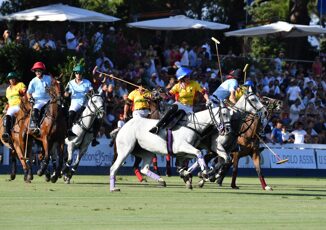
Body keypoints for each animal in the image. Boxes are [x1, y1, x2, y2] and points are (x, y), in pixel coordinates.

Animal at [109, 90, 268, 191]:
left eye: (230, 114)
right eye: (253, 99)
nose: (265, 111)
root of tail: (124, 125)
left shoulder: (192, 151)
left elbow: (204, 159)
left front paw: (196, 175)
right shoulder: (207, 148)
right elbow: (204, 157)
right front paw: (204, 174)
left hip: (146, 151)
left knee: (143, 167)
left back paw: (162, 180)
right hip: (126, 149)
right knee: (116, 167)